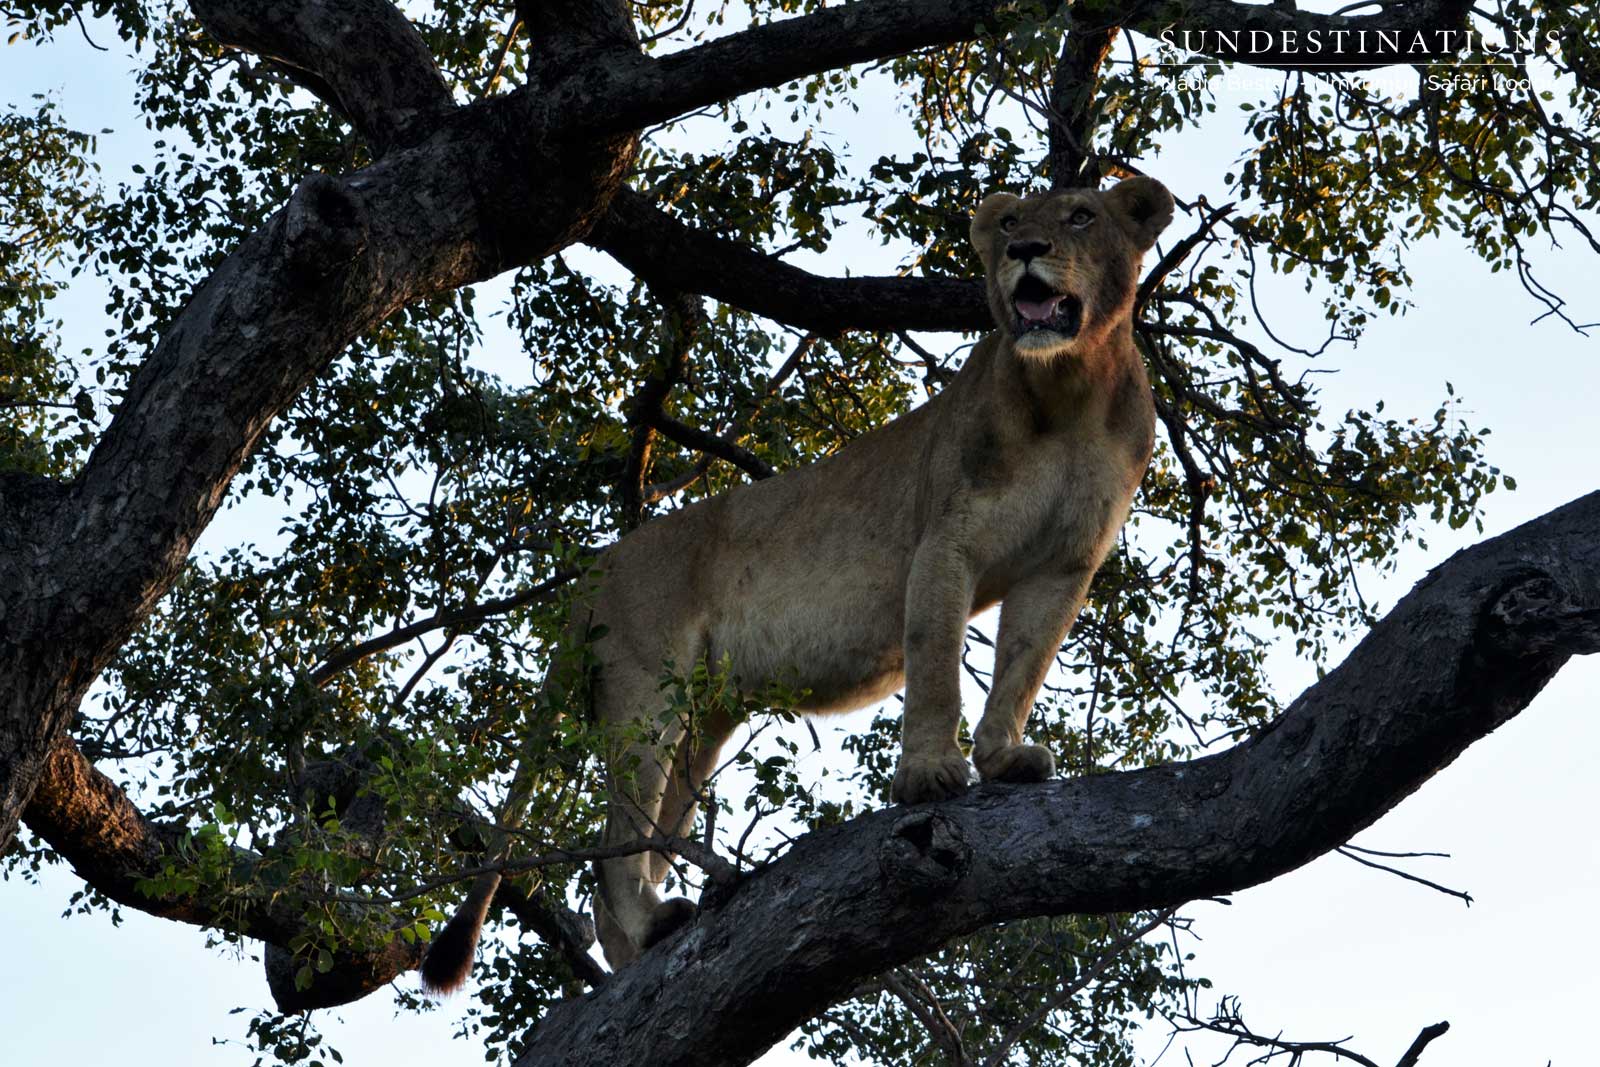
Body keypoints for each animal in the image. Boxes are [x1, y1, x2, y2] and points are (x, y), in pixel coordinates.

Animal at [420, 175, 1171, 990]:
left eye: (1080, 216)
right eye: (1008, 224)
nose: (1024, 250)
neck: (1068, 389)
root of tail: (599, 565)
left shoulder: (1064, 563)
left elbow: (1022, 666)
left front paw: (1004, 758)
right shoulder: (946, 540)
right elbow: (937, 663)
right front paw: (930, 774)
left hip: (700, 722)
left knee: (633, 842)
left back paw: (637, 955)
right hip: (644, 688)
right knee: (618, 840)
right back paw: (653, 924)